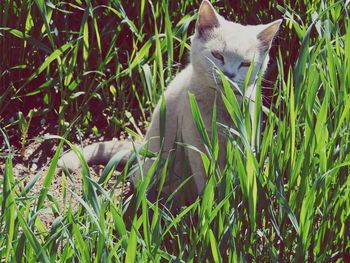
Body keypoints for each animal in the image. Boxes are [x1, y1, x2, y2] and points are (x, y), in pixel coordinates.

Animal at [58, 0, 282, 205]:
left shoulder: (244, 139)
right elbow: (206, 179)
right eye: (217, 55)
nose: (229, 74)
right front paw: (212, 207)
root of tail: (142, 145)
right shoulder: (196, 143)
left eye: (245, 64)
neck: (221, 105)